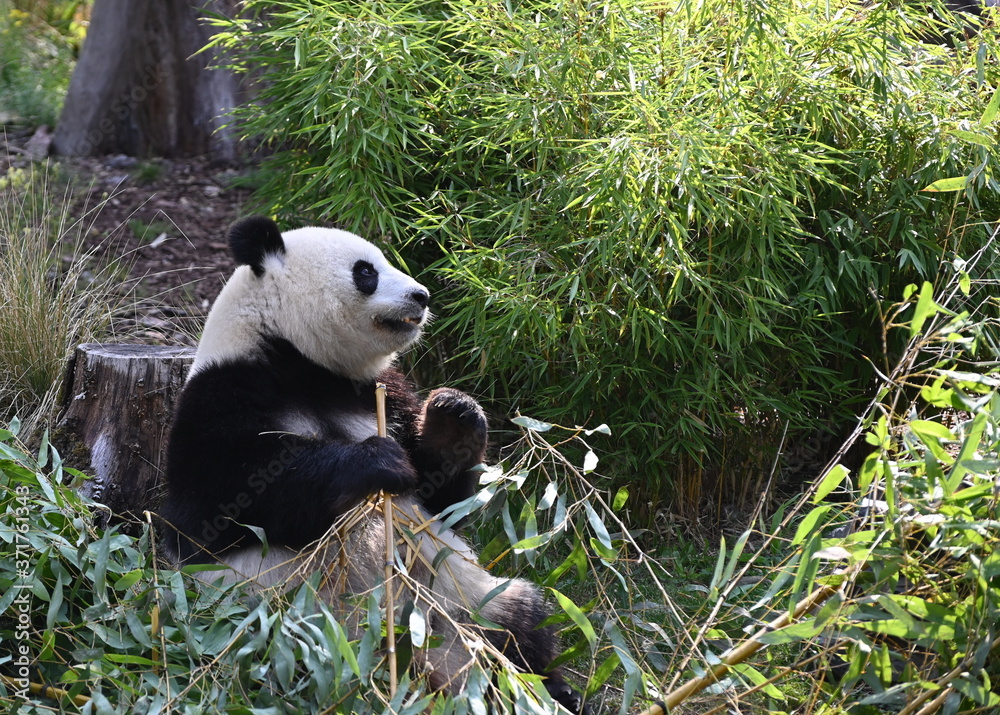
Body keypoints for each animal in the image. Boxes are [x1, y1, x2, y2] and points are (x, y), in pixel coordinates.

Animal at [159, 216, 587, 713]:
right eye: (366, 272)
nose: (421, 295)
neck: (300, 360)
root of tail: (429, 665)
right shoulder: (219, 398)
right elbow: (220, 505)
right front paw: (376, 462)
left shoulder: (382, 391)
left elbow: (442, 501)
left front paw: (454, 416)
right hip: (281, 634)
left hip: (462, 597)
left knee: (519, 620)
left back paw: (551, 689)